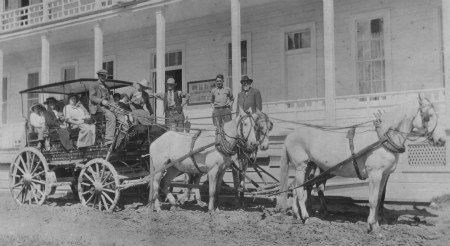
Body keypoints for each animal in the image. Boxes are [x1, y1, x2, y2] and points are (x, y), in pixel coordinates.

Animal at [276, 93, 444, 232]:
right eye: (428, 115)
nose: (441, 140)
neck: (383, 137)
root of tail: (290, 135)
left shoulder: (384, 175)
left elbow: (379, 198)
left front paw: (376, 224)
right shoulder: (375, 174)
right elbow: (374, 200)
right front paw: (370, 224)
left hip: (310, 167)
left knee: (296, 188)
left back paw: (297, 214)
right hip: (300, 166)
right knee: (299, 190)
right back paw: (305, 217)